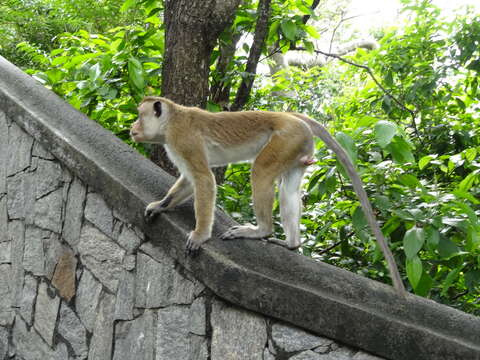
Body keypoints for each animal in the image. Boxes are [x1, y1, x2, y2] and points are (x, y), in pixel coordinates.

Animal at [128, 97, 404, 294]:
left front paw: (200, 235)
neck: (170, 120)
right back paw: (291, 243)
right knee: (288, 190)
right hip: (298, 147)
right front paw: (160, 205)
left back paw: (261, 231)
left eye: (140, 116)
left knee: (260, 172)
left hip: (286, 138)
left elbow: (203, 180)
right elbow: (188, 181)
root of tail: (289, 116)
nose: (132, 128)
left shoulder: (182, 139)